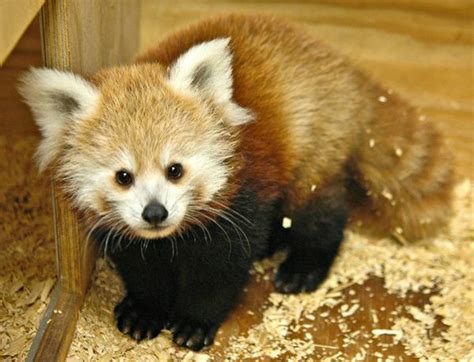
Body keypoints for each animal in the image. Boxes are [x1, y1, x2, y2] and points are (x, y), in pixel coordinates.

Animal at [19, 14, 456, 350]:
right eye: (123, 177)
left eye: (174, 170)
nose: (155, 213)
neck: (172, 236)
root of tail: (347, 73)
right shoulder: (129, 232)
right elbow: (142, 265)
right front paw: (145, 309)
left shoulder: (241, 196)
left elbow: (221, 268)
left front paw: (195, 322)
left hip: (315, 147)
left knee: (320, 211)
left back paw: (303, 265)